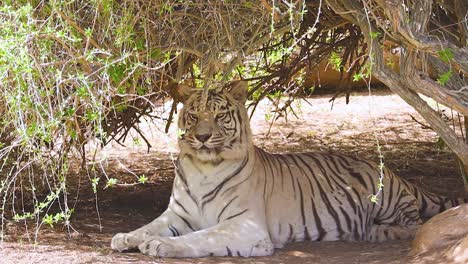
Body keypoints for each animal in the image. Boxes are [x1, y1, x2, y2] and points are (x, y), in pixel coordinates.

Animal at [109, 81, 464, 258]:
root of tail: (392, 172)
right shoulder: (177, 214)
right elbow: (148, 226)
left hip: (385, 196)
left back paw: (374, 231)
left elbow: (202, 235)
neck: (203, 166)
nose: (203, 137)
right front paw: (126, 237)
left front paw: (161, 245)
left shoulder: (246, 224)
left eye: (219, 115)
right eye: (194, 115)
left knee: (412, 224)